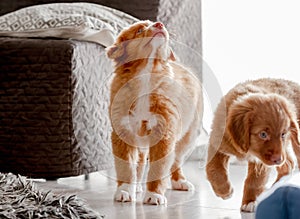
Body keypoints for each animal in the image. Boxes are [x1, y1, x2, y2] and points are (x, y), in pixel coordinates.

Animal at [106, 20, 203, 205]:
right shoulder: (122, 132)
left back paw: (180, 182)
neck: (146, 76)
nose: (160, 24)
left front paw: (154, 195)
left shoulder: (164, 134)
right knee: (141, 161)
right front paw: (124, 190)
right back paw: (136, 186)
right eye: (139, 30)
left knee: (176, 160)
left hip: (188, 136)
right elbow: (127, 167)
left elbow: (158, 169)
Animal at [206, 78, 300, 212]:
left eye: (283, 134)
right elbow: (213, 169)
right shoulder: (218, 143)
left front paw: (250, 201)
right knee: (288, 164)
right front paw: (224, 190)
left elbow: (255, 180)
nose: (278, 159)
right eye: (263, 134)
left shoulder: (261, 161)